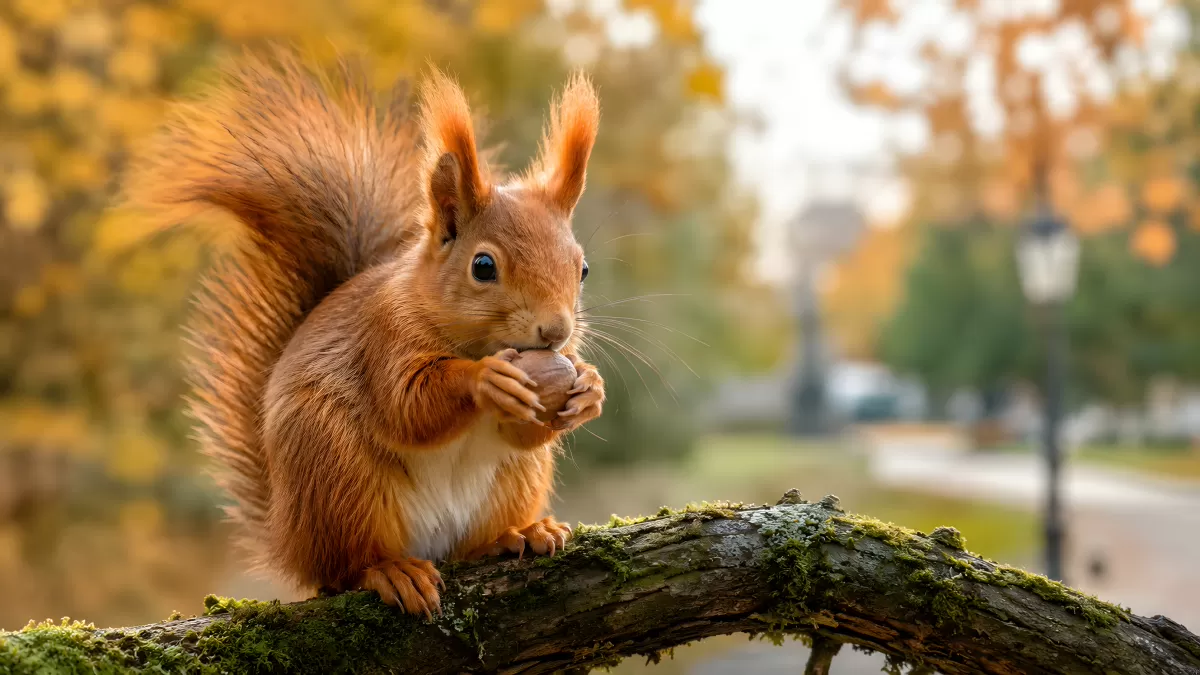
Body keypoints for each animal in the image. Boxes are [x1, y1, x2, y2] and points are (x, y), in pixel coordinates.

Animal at [123, 52, 605, 616]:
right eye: (483, 266)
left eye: (583, 269)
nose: (556, 332)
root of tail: (289, 538)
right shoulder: (381, 337)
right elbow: (407, 405)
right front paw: (487, 379)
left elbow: (522, 431)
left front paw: (589, 389)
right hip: (337, 476)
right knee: (347, 566)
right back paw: (392, 571)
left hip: (512, 480)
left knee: (471, 542)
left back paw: (517, 535)